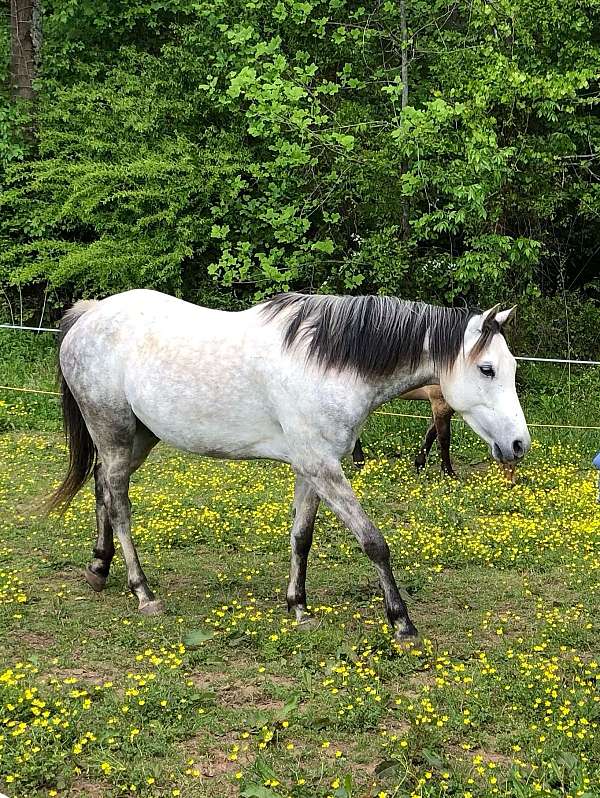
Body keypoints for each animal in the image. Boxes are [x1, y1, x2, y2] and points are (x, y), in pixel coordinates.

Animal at [352, 386, 516, 484]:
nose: (511, 483)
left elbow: (431, 434)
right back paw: (359, 462)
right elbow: (443, 439)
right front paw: (450, 475)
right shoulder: (441, 403)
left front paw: (419, 465)